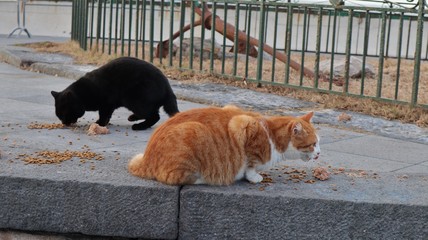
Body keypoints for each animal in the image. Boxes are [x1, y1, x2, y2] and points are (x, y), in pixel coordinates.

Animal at [51, 57, 179, 130]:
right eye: (59, 115)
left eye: (64, 113)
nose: (64, 122)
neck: (84, 93)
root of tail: (168, 87)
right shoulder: (109, 106)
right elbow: (107, 115)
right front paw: (104, 123)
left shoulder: (106, 104)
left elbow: (103, 114)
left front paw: (100, 123)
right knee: (154, 115)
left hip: (135, 100)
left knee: (154, 116)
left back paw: (136, 124)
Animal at [129, 105, 320, 186]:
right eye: (313, 144)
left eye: (318, 143)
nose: (319, 154)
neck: (271, 135)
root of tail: (145, 160)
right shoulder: (242, 125)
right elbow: (250, 164)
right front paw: (253, 176)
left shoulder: (231, 108)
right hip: (193, 133)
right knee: (173, 178)